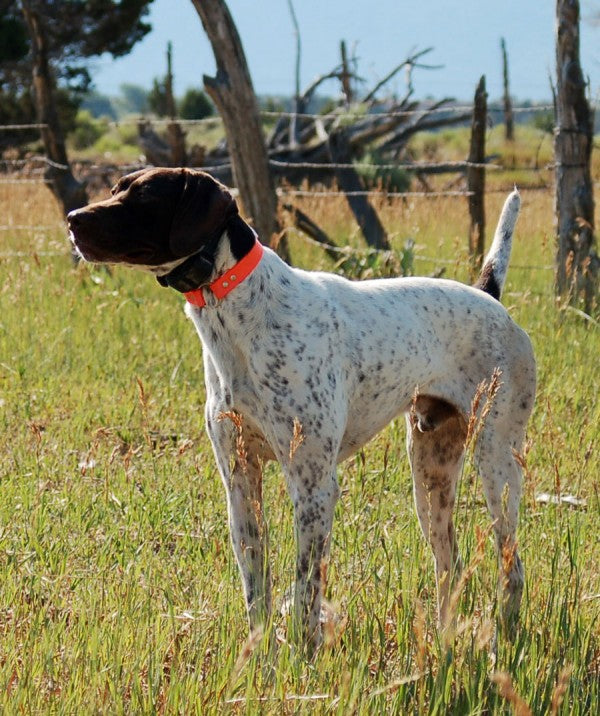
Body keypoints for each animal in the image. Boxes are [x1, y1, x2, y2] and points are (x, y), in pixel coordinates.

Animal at [68, 168, 536, 648]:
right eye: (115, 189)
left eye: (144, 196)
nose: (71, 219)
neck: (237, 309)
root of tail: (490, 296)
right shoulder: (240, 482)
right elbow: (256, 587)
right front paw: (258, 656)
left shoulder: (313, 484)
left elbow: (306, 588)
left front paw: (304, 654)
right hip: (430, 478)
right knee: (450, 565)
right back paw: (444, 641)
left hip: (496, 467)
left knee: (512, 567)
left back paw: (505, 639)